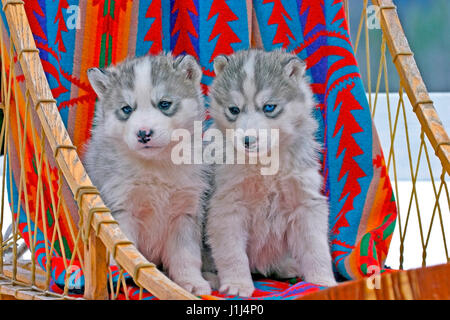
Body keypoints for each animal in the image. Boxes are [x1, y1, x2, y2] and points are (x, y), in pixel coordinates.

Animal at [86, 52, 213, 296]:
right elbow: (124, 254)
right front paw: (120, 280)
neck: (156, 167)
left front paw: (191, 281)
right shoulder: (122, 210)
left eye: (164, 104)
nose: (144, 133)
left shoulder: (185, 213)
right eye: (127, 109)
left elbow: (186, 255)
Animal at [206, 48, 336, 296]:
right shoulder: (227, 206)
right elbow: (232, 253)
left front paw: (322, 281)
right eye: (234, 110)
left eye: (269, 107)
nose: (248, 140)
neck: (264, 164)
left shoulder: (306, 202)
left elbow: (316, 247)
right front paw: (237, 284)